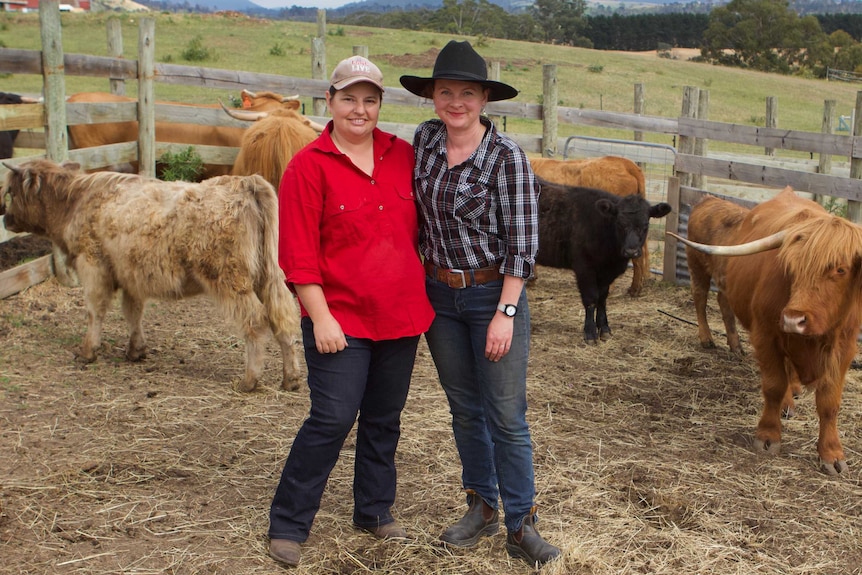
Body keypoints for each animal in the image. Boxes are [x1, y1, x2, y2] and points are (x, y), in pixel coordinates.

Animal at [0, 159, 304, 392]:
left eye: (10, 192)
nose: (5, 218)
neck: (75, 200)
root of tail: (246, 182)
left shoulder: (93, 265)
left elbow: (95, 311)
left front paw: (88, 351)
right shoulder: (129, 275)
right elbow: (133, 312)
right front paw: (136, 350)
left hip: (229, 279)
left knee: (256, 321)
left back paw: (249, 380)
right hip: (269, 277)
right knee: (282, 319)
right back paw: (291, 378)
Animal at [540, 181, 676, 342]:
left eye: (645, 225)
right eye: (620, 224)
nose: (631, 251)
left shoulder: (607, 272)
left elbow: (602, 298)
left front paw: (604, 328)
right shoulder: (584, 268)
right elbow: (591, 298)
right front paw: (590, 332)